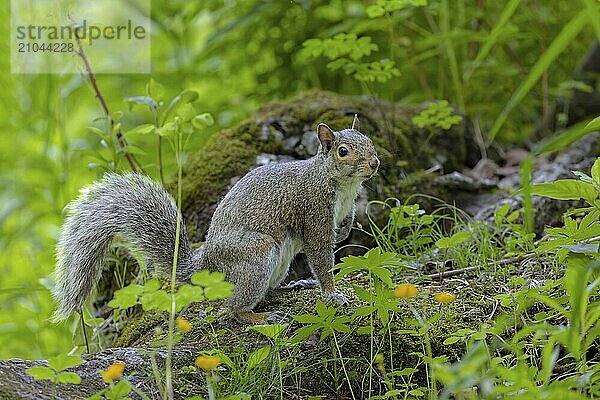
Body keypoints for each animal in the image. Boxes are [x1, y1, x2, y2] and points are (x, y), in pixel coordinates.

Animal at [51, 117, 380, 324]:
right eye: (343, 151)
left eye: (369, 141)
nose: (375, 163)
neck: (343, 186)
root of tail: (207, 263)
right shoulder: (312, 211)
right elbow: (321, 257)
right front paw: (332, 294)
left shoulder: (345, 207)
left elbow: (344, 226)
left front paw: (344, 232)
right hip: (256, 254)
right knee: (233, 307)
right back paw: (259, 316)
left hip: (277, 263)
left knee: (266, 291)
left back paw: (294, 286)